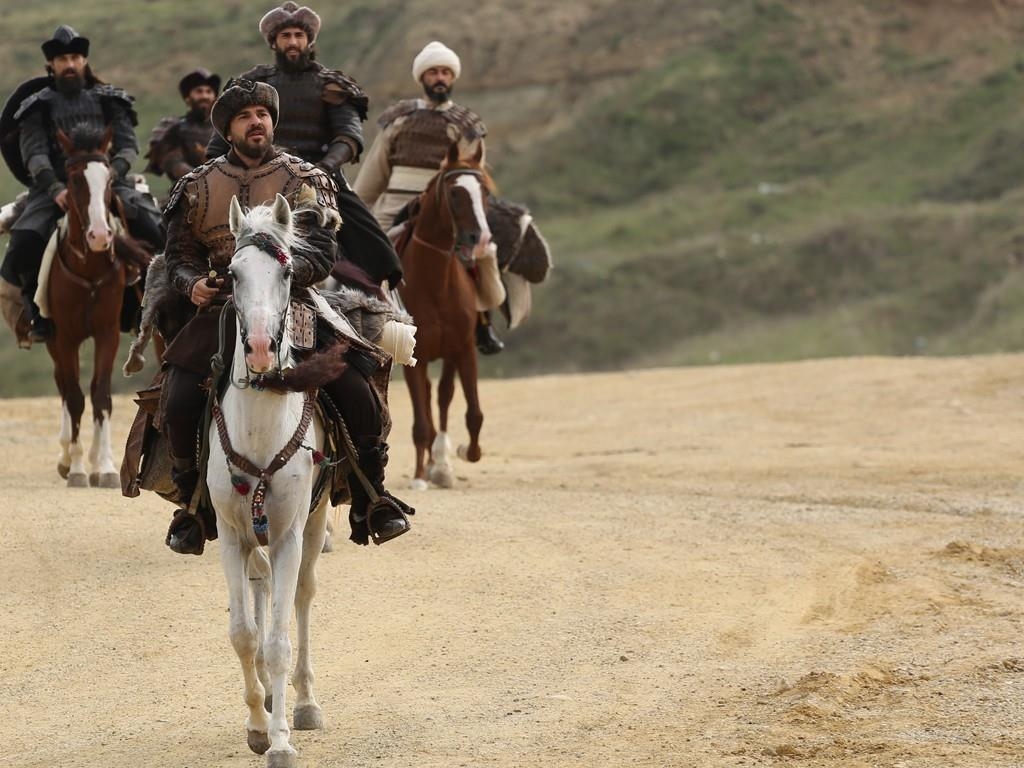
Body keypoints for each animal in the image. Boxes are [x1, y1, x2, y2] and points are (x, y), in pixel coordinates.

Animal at [46, 126, 147, 487]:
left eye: (109, 179)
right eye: (74, 178)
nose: (101, 237)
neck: (88, 268)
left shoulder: (107, 334)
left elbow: (101, 394)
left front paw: (103, 466)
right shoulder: (64, 339)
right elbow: (75, 397)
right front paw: (76, 467)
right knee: (63, 386)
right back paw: (66, 457)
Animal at [395, 143, 491, 493]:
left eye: (485, 192)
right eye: (454, 193)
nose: (480, 239)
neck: (435, 282)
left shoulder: (464, 349)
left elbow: (474, 413)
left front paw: (465, 452)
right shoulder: (417, 356)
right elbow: (421, 423)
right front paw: (419, 476)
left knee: (443, 395)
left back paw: (441, 463)